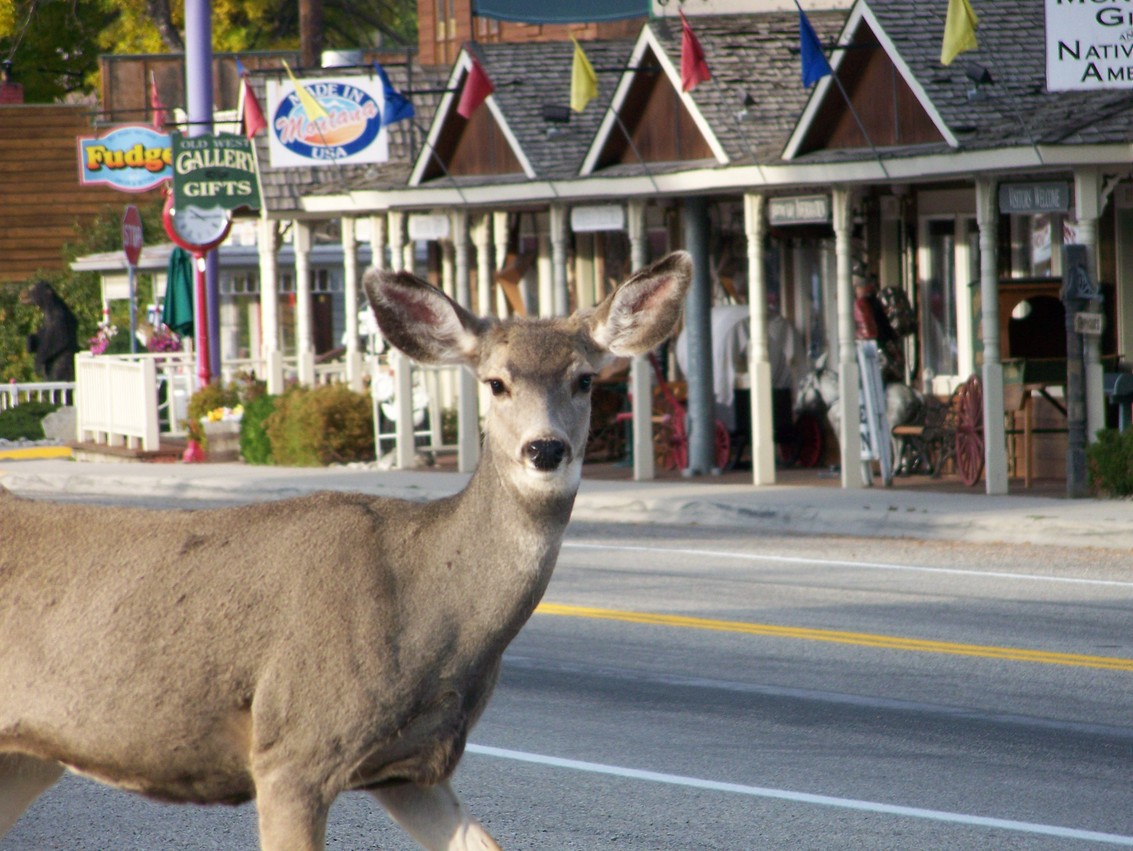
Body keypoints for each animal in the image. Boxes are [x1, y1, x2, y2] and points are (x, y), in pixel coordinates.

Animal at [0, 249, 693, 847]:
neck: (426, 602)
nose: (545, 449)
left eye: (585, 380)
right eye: (496, 383)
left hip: (28, 756)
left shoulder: (410, 768)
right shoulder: (294, 747)